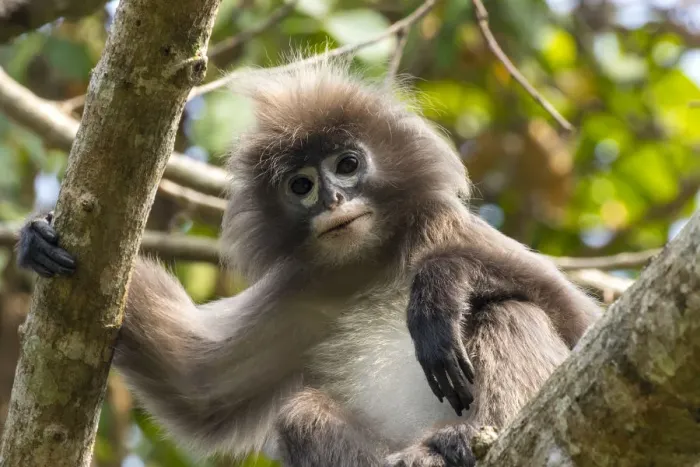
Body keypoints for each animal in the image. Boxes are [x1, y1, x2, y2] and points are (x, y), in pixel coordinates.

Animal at [16, 57, 601, 467]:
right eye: (302, 186)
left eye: (347, 164)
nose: (334, 201)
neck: (374, 264)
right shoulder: (302, 292)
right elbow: (198, 385)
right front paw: (38, 235)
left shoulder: (448, 230)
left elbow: (581, 327)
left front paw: (439, 287)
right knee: (300, 414)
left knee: (509, 310)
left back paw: (457, 437)